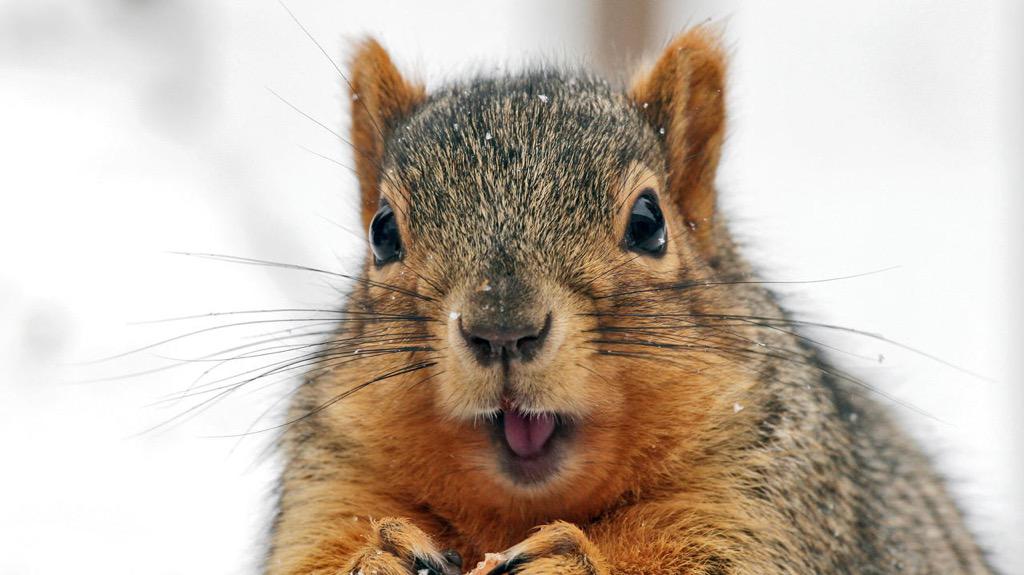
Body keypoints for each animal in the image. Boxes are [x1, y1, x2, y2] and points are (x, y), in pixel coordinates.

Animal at [264, 28, 992, 575]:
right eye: (383, 231)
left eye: (648, 222)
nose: (503, 329)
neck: (521, 509)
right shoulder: (333, 480)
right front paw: (379, 555)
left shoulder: (770, 497)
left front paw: (567, 561)